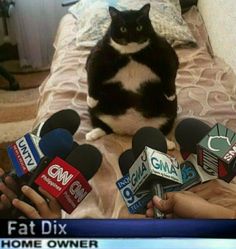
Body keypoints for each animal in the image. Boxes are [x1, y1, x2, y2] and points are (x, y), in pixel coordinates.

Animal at [85, 3, 179, 149]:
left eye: (139, 27)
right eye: (123, 28)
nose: (132, 36)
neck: (131, 54)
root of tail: (131, 130)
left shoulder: (166, 51)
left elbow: (170, 71)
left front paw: (170, 94)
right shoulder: (97, 54)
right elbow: (92, 74)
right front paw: (91, 99)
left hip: (170, 112)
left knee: (159, 131)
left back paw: (168, 143)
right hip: (96, 111)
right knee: (103, 126)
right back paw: (92, 134)